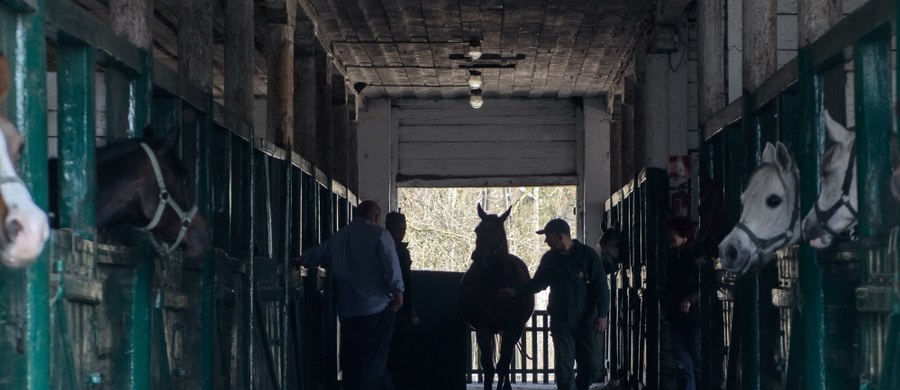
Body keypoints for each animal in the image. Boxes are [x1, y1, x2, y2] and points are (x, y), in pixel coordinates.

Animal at [458, 204, 536, 390]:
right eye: (477, 230)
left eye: (497, 232)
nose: (477, 256)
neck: (497, 283)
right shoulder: (483, 328)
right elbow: (488, 366)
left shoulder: (513, 328)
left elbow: (503, 364)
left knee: (505, 363)